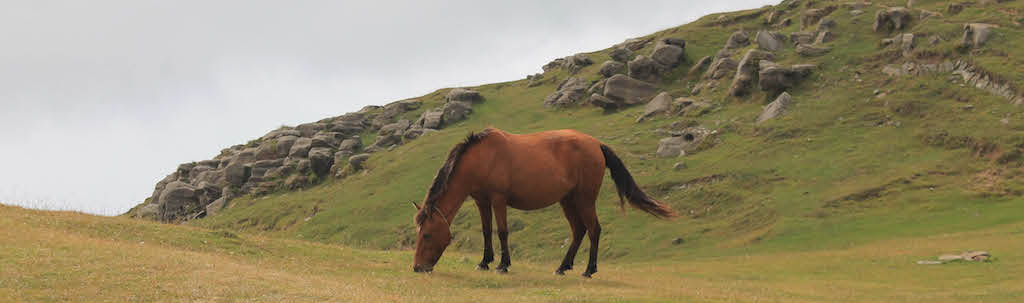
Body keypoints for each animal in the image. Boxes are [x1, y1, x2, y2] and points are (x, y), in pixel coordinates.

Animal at [411, 127, 675, 276]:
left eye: (427, 235)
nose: (417, 267)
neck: (482, 158)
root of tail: (596, 145)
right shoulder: (481, 201)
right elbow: (487, 231)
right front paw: (484, 262)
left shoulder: (498, 199)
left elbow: (502, 231)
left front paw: (503, 265)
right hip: (568, 201)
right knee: (579, 231)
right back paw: (562, 267)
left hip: (585, 199)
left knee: (593, 230)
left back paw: (589, 270)